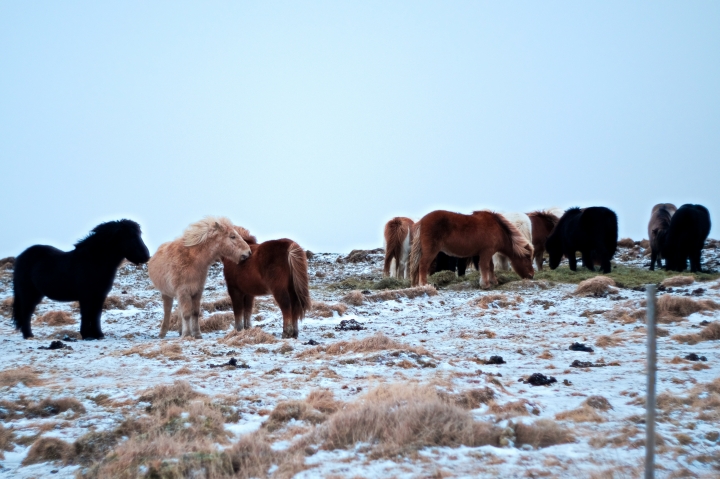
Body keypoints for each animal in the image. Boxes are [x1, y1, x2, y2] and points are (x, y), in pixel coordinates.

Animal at [12, 219, 150, 340]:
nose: (146, 256)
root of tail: (21, 257)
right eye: (130, 236)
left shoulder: (100, 295)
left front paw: (98, 335)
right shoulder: (86, 295)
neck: (94, 262)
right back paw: (28, 335)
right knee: (26, 313)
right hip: (28, 294)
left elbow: (96, 315)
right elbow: (86, 314)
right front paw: (87, 335)